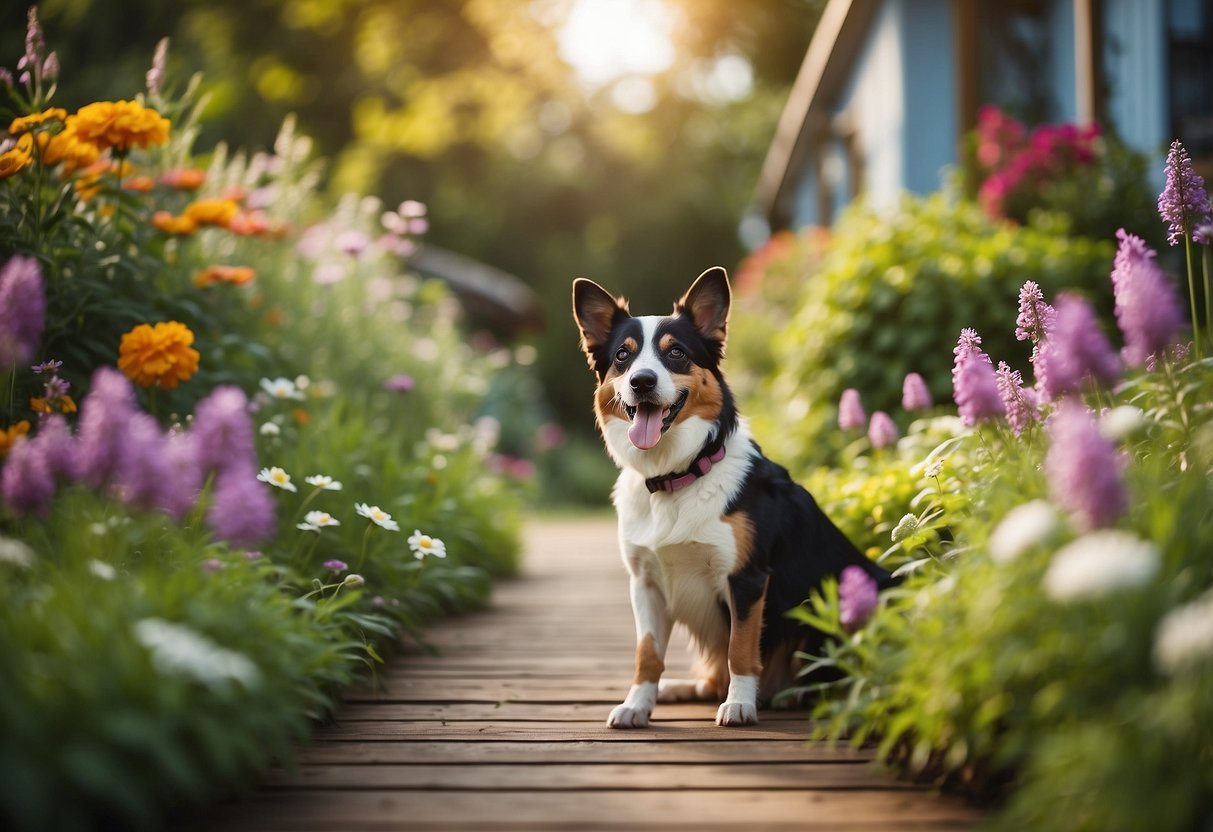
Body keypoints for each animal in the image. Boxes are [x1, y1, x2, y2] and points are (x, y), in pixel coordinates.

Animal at [567, 269, 892, 727]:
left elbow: (740, 647)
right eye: (622, 356)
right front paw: (636, 705)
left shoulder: (746, 578)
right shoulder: (645, 583)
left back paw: (795, 694)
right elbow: (647, 653)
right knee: (711, 678)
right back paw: (681, 688)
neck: (676, 476)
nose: (641, 382)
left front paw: (739, 705)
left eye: (677, 353)